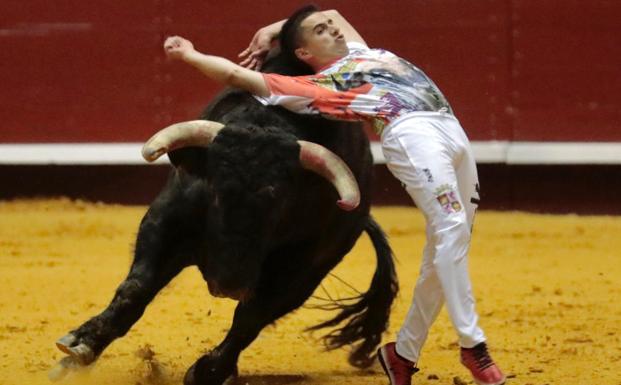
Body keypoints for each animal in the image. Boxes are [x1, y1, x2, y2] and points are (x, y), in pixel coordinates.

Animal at [52, 51, 398, 384]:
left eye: (278, 201)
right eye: (216, 192)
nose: (229, 285)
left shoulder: (300, 264)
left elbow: (251, 317)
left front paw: (208, 371)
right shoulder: (165, 222)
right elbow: (137, 286)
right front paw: (79, 347)